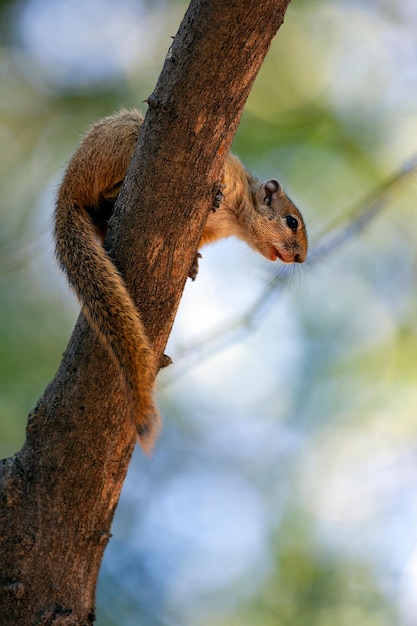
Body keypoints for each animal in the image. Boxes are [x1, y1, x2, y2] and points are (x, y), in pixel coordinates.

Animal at [54, 109, 306, 454]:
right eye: (291, 221)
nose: (301, 259)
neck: (235, 218)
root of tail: (68, 187)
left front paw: (194, 263)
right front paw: (216, 193)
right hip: (123, 136)